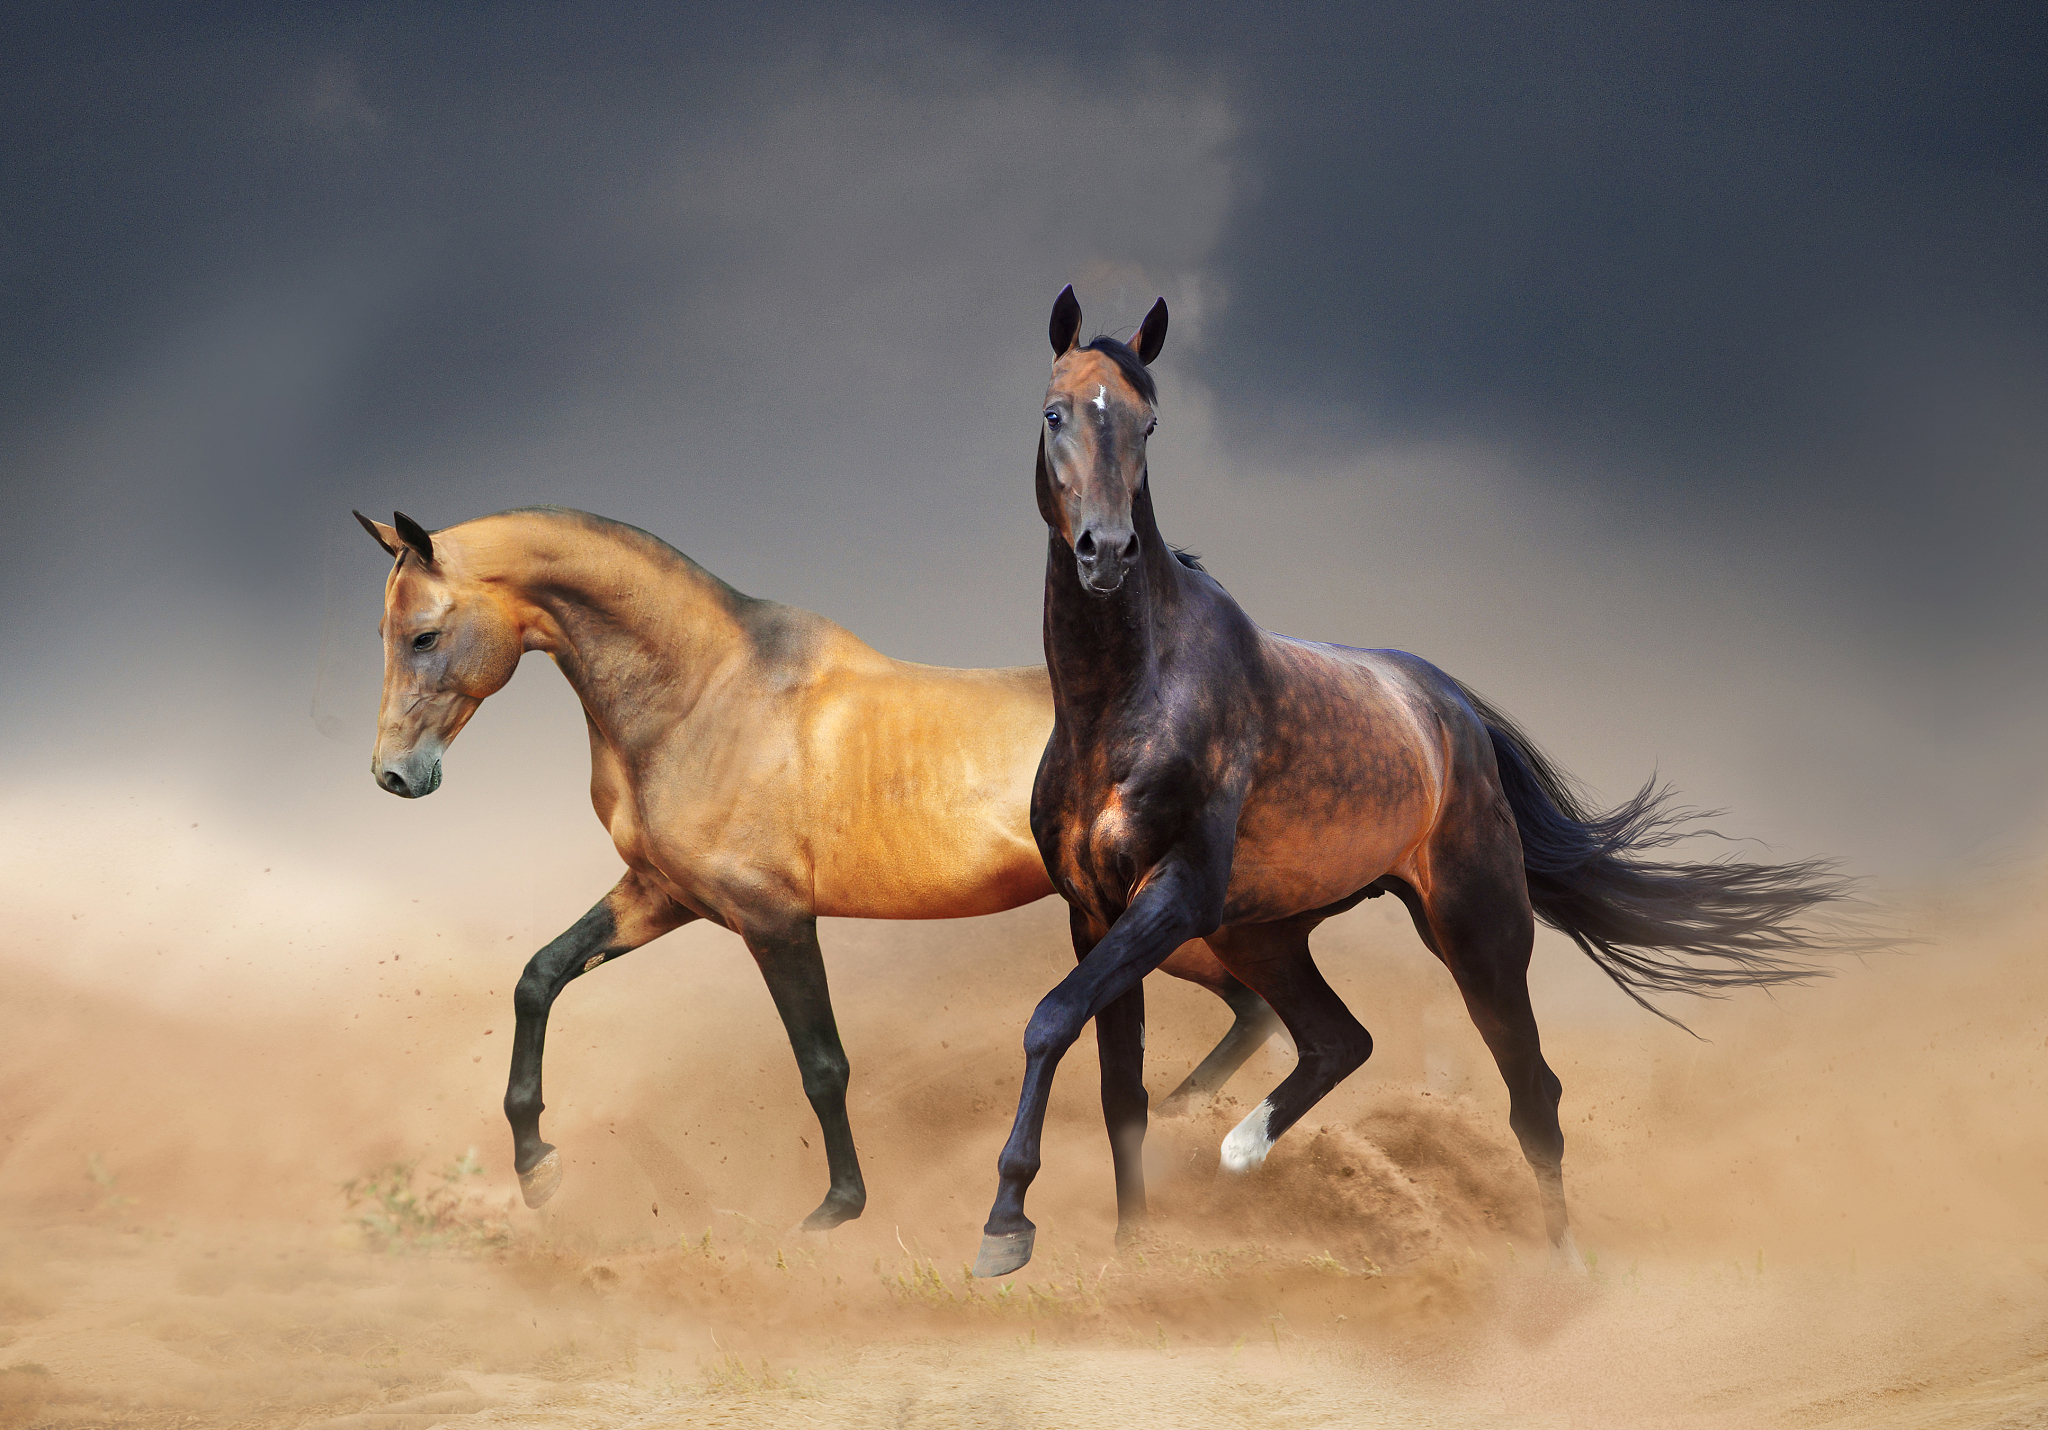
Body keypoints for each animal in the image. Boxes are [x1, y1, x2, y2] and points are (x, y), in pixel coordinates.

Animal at [353, 505, 1282, 1231]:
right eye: (385, 634)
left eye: (425, 634)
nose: (394, 776)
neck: (704, 696)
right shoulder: (661, 897)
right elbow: (538, 978)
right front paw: (536, 1165)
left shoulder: (774, 921)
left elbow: (823, 1064)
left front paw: (838, 1209)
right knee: (1254, 1013)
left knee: (1261, 1009)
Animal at [970, 287, 1849, 1277]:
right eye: (1056, 412)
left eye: (1148, 423)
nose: (1107, 552)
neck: (1123, 705)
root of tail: (1454, 708)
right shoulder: (1095, 910)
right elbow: (1118, 1087)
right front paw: (1129, 1256)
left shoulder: (1173, 894)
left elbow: (1051, 1018)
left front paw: (1006, 1224)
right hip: (1261, 934)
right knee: (1339, 1040)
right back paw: (1241, 1148)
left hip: (1474, 928)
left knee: (1532, 1093)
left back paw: (1565, 1274)